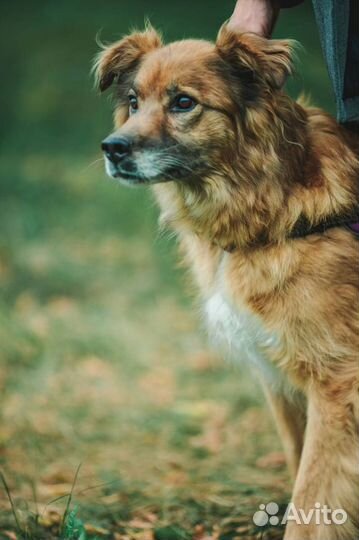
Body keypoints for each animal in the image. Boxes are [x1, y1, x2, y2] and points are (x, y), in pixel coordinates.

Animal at [95, 23, 359, 536]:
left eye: (183, 103)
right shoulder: (281, 375)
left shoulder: (339, 383)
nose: (112, 148)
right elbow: (299, 464)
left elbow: (314, 496)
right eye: (134, 101)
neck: (273, 206)